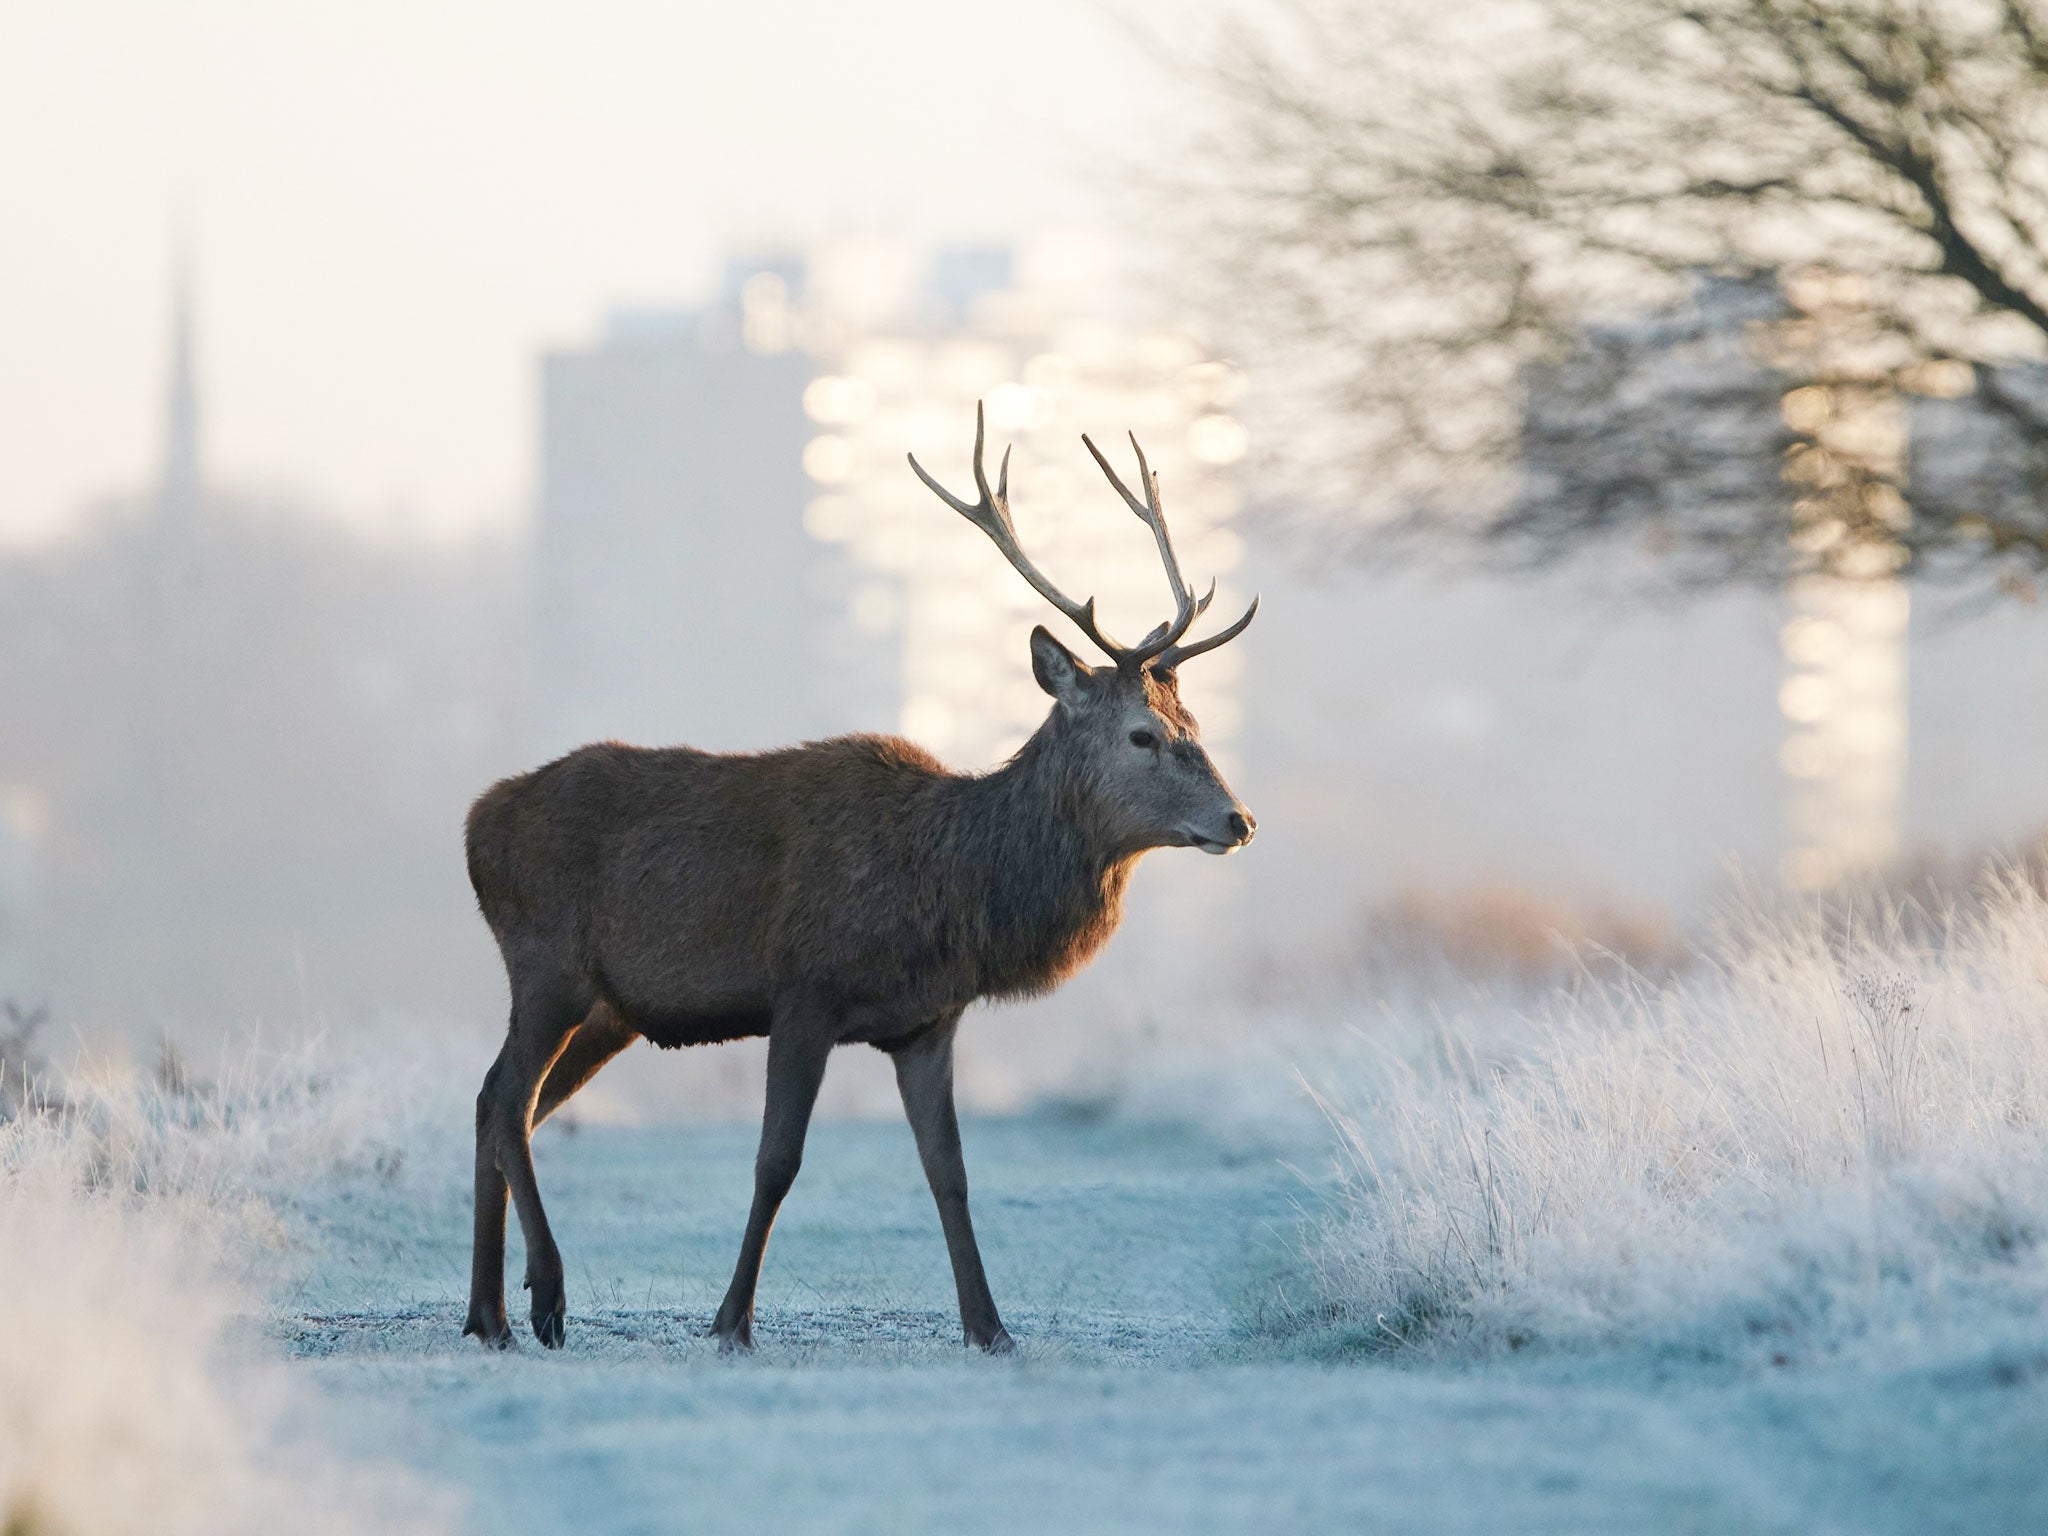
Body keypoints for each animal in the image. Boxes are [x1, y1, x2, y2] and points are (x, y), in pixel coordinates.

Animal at [464, 403, 1253, 1351]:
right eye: (1143, 734)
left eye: (1194, 723)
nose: (1239, 820)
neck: (953, 890)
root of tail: (475, 823)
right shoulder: (805, 991)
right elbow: (777, 1160)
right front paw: (731, 1321)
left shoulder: (927, 1023)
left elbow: (950, 1172)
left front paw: (990, 1328)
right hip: (547, 964)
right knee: (509, 1101)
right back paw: (543, 1296)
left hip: (611, 1009)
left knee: (498, 1104)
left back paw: (485, 1314)